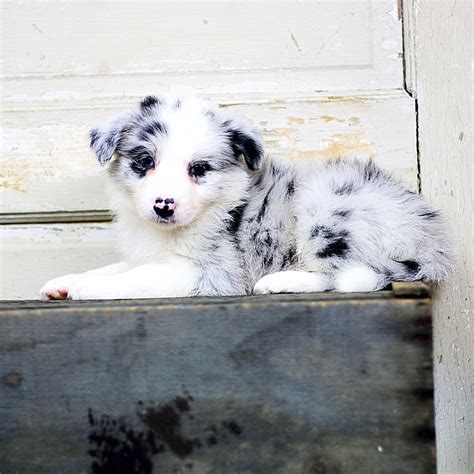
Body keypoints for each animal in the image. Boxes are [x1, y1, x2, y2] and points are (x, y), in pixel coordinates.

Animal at [39, 94, 454, 298]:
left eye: (199, 169)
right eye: (145, 162)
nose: (163, 205)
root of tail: (433, 239)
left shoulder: (210, 271)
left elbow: (136, 278)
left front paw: (89, 289)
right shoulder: (150, 253)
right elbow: (119, 267)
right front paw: (64, 282)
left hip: (327, 206)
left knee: (343, 274)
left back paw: (281, 281)